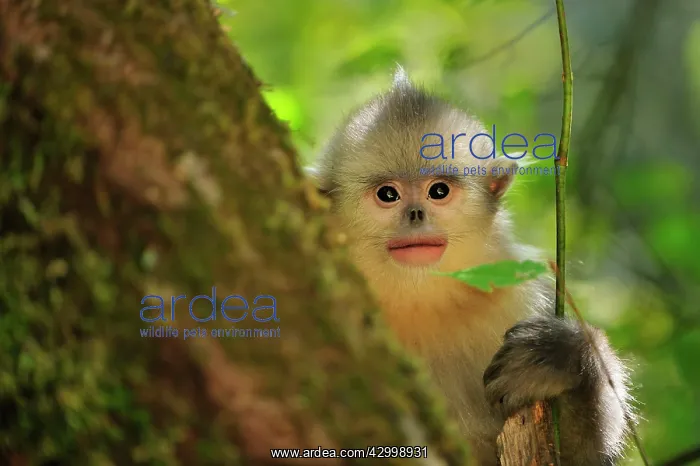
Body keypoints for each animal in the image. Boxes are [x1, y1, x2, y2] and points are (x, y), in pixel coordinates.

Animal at [305, 67, 633, 465]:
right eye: (388, 194)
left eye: (438, 191)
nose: (416, 214)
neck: (420, 300)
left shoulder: (518, 294)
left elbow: (582, 457)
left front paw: (562, 356)